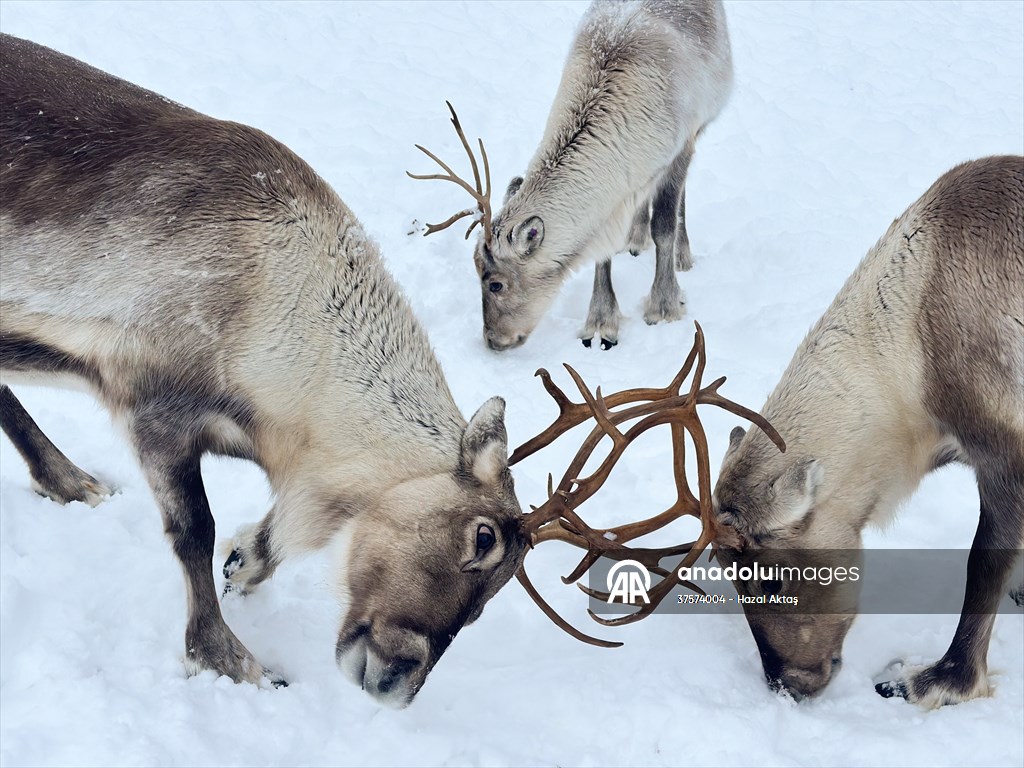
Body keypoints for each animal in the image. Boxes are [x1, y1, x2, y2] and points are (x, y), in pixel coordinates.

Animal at [409, 0, 733, 351]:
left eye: (496, 284)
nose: (494, 341)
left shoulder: (679, 148)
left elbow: (664, 227)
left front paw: (664, 306)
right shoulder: (616, 194)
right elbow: (604, 249)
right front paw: (601, 321)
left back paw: (682, 255)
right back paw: (635, 237)